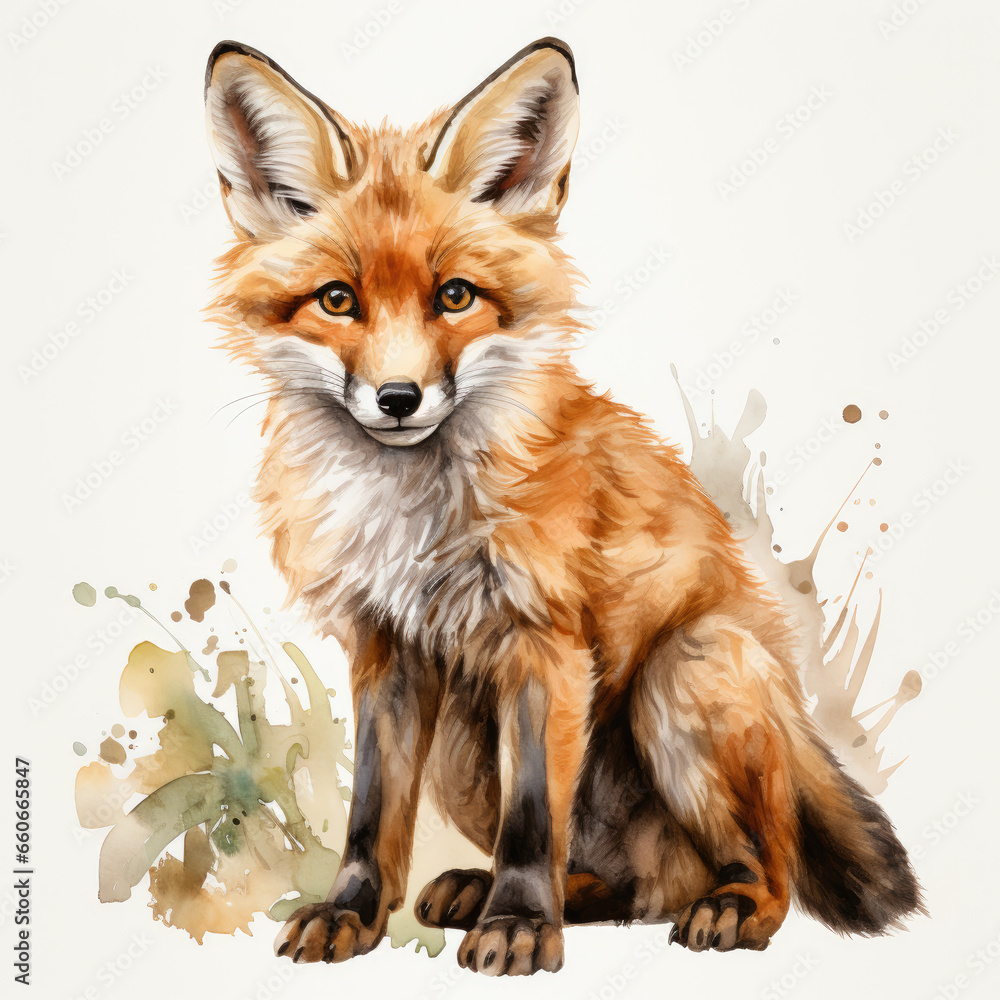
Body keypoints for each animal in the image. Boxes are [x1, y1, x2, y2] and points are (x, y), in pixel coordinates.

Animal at [203, 37, 922, 976]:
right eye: (336, 300)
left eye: (456, 296)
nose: (397, 399)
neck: (415, 516)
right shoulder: (386, 650)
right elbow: (372, 815)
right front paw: (354, 912)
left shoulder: (543, 643)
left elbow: (533, 818)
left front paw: (515, 924)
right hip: (463, 746)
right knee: (615, 884)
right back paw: (502, 893)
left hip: (681, 672)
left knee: (763, 865)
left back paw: (726, 907)